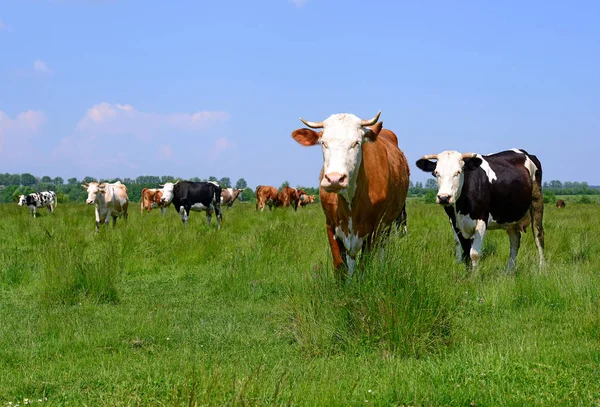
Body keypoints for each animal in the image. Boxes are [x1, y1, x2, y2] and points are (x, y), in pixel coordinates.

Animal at [290, 111, 410, 280]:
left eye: (356, 143)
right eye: (323, 143)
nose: (334, 179)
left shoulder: (373, 229)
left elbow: (363, 267)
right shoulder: (331, 225)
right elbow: (340, 266)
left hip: (388, 223)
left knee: (381, 249)